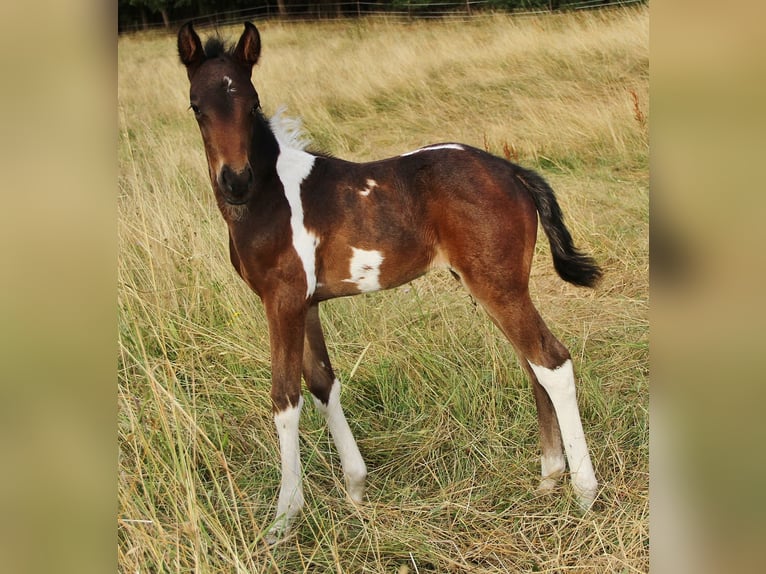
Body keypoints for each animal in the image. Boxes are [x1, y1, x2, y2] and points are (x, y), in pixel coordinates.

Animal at [177, 22, 604, 544]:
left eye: (252, 103)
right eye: (197, 106)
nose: (235, 181)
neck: (268, 198)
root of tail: (513, 173)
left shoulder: (282, 299)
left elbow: (285, 396)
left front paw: (283, 519)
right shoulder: (307, 302)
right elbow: (322, 382)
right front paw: (356, 489)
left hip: (497, 286)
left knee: (552, 361)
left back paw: (584, 494)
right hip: (496, 286)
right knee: (533, 364)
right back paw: (548, 478)